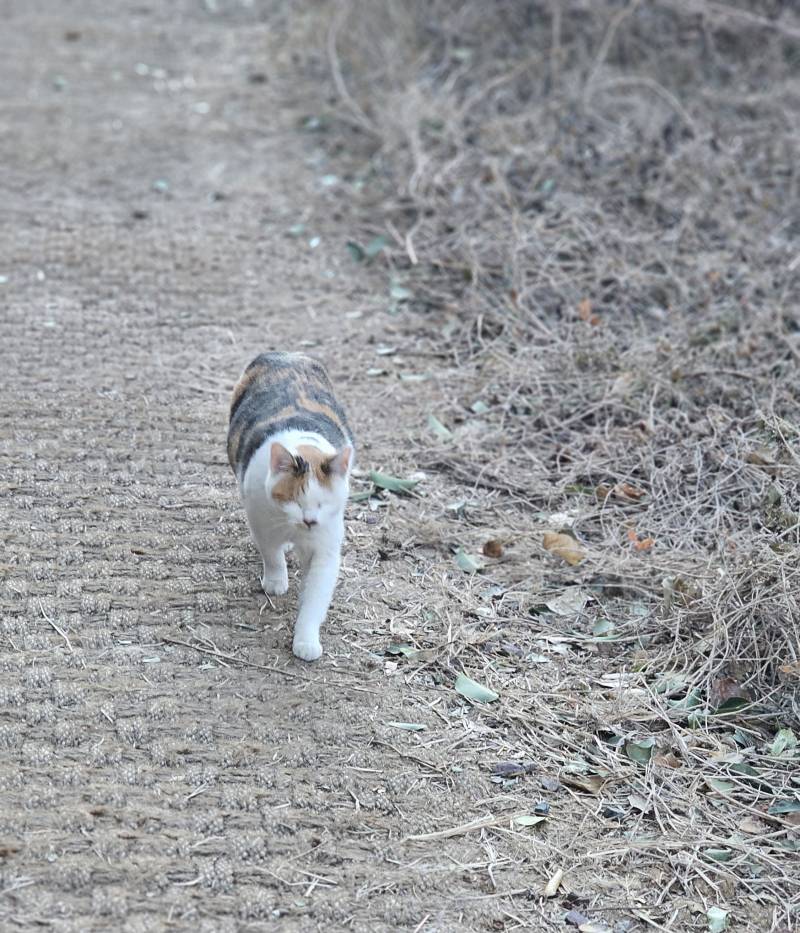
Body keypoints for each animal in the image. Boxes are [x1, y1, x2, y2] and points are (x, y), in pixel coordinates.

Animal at [231, 352, 356, 664]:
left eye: (323, 503)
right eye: (294, 500)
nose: (310, 521)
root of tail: (285, 355)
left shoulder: (326, 547)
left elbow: (315, 598)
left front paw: (306, 640)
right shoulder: (260, 519)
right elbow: (271, 554)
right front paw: (276, 581)